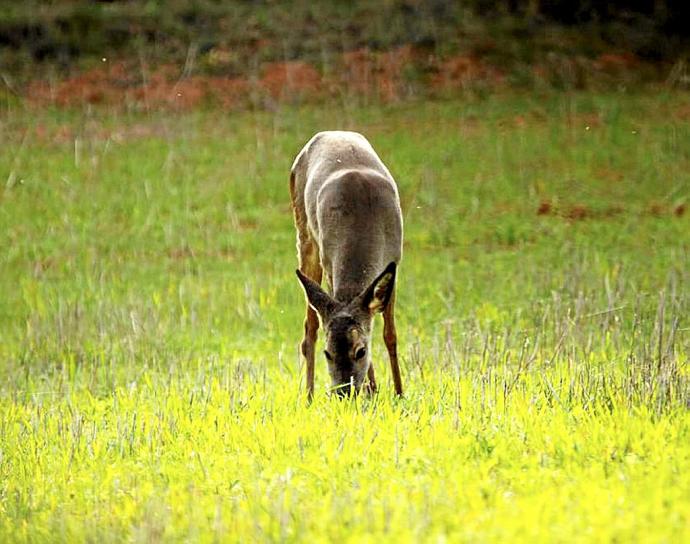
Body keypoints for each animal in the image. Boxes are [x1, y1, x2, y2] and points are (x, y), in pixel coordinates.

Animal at [288, 130, 400, 398]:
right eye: (328, 353)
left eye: (360, 351)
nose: (343, 392)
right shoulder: (330, 263)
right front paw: (372, 391)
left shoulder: (395, 261)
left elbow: (390, 334)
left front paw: (399, 393)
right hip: (305, 235)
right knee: (309, 328)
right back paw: (308, 396)